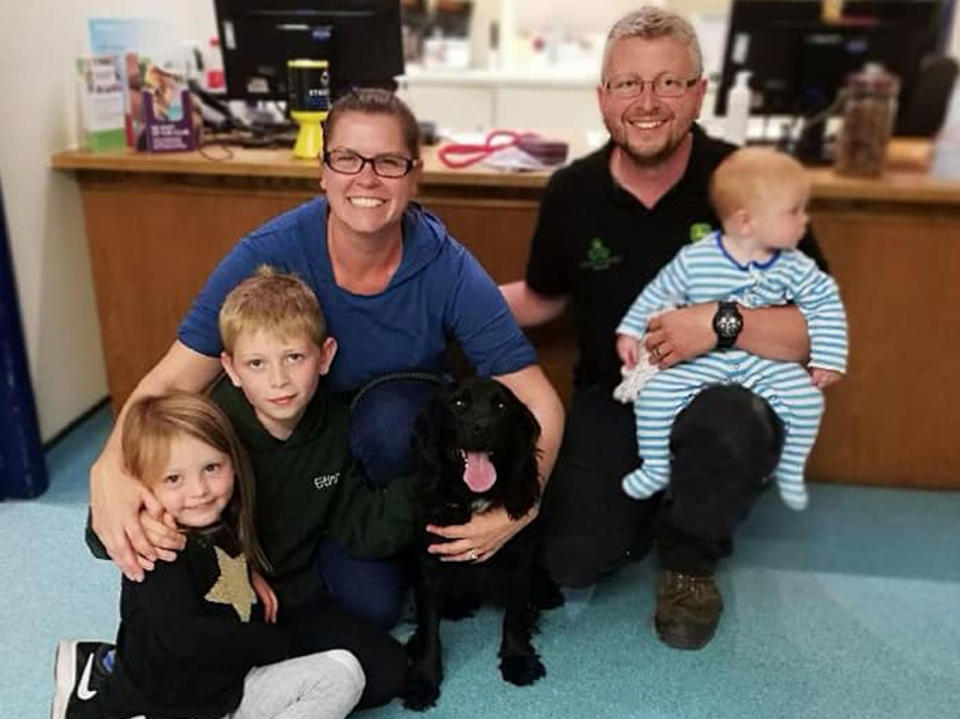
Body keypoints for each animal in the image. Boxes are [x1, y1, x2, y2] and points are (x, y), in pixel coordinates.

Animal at [400, 380, 564, 712]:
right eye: (458, 403)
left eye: (501, 406)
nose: (482, 427)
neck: (472, 497)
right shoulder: (428, 567)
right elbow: (430, 628)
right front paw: (423, 679)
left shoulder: (519, 561)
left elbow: (514, 616)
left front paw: (518, 658)